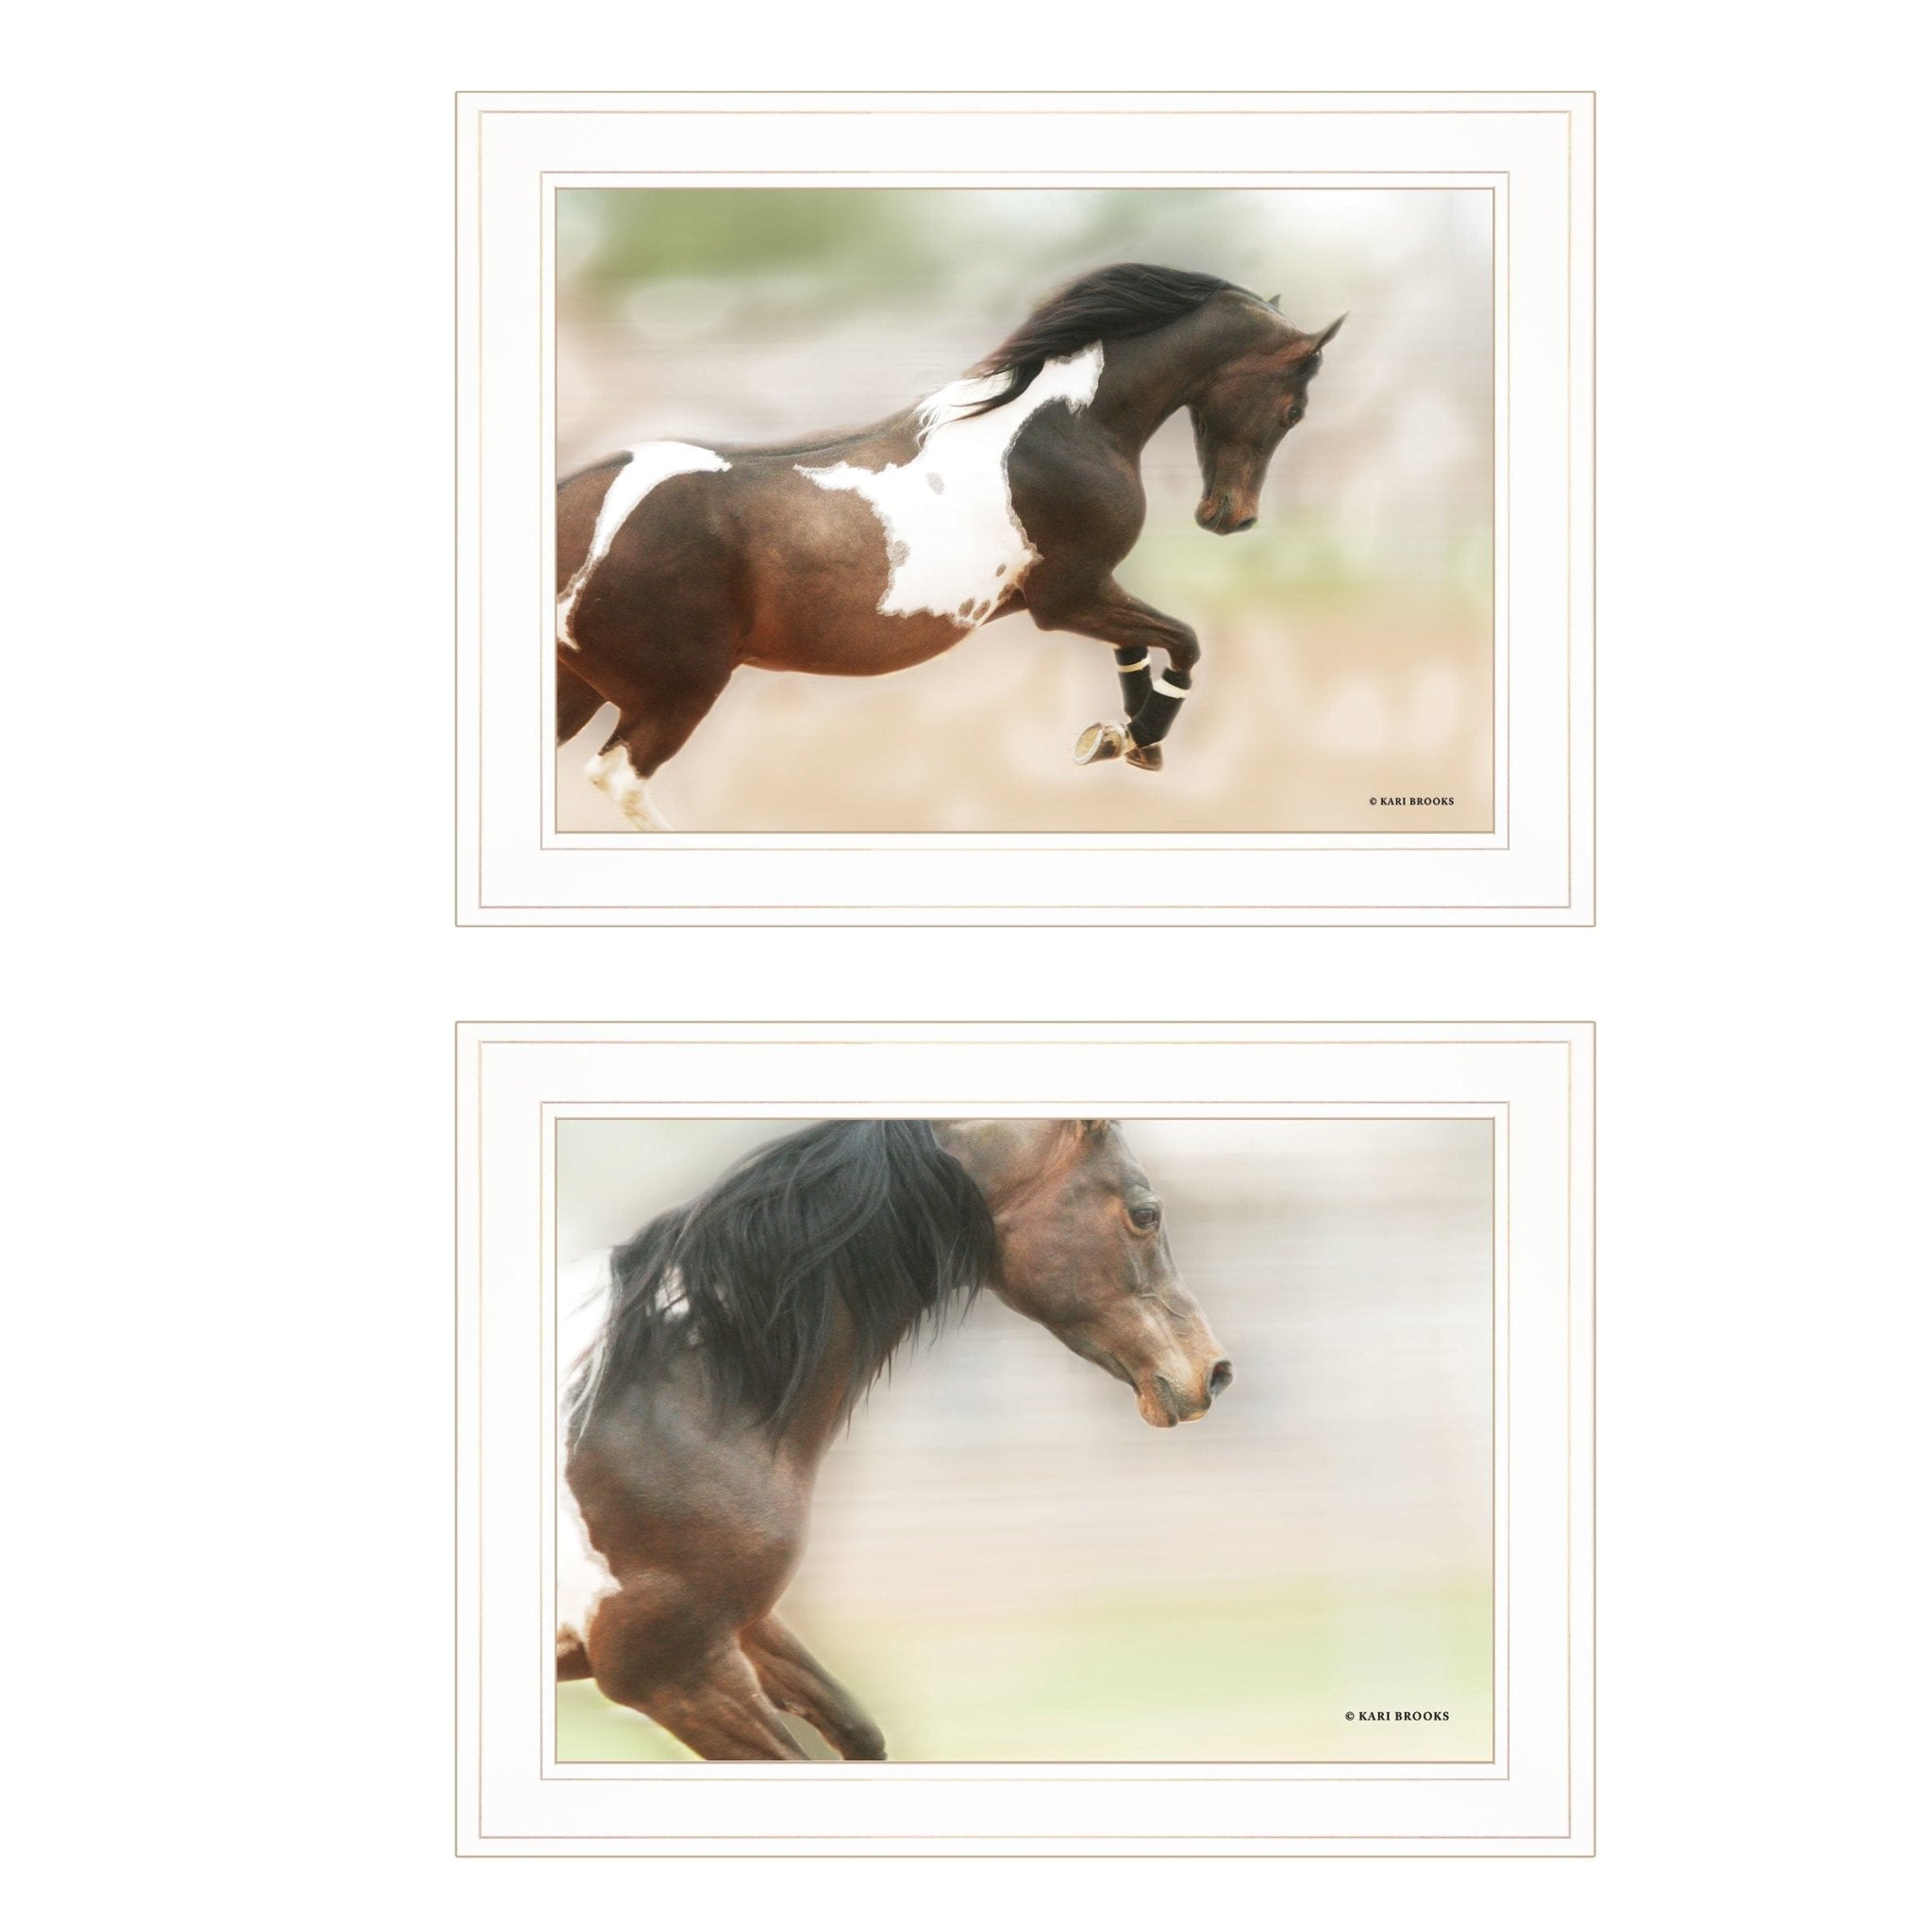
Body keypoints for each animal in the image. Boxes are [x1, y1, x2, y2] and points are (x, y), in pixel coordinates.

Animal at [556, 263, 1343, 828]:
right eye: (1294, 409)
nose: (1230, 518)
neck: (1062, 427)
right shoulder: (1068, 598)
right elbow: (1184, 642)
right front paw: (1139, 736)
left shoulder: (1086, 594)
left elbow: (1141, 645)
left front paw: (1124, 738)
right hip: (678, 691)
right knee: (620, 780)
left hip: (577, 688)